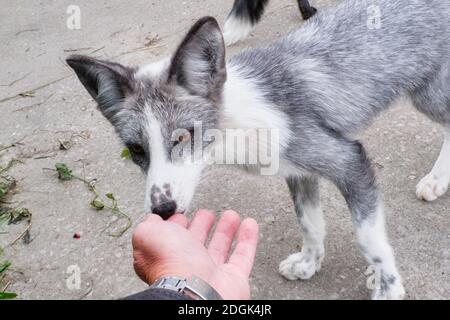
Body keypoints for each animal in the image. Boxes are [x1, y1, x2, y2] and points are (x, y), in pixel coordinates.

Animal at [67, 0, 450, 300]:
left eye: (183, 137)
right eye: (136, 149)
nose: (163, 210)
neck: (241, 123)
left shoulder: (348, 160)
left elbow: (369, 240)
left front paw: (388, 287)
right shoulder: (298, 172)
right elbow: (310, 224)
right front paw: (309, 263)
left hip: (428, 95)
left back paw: (436, 179)